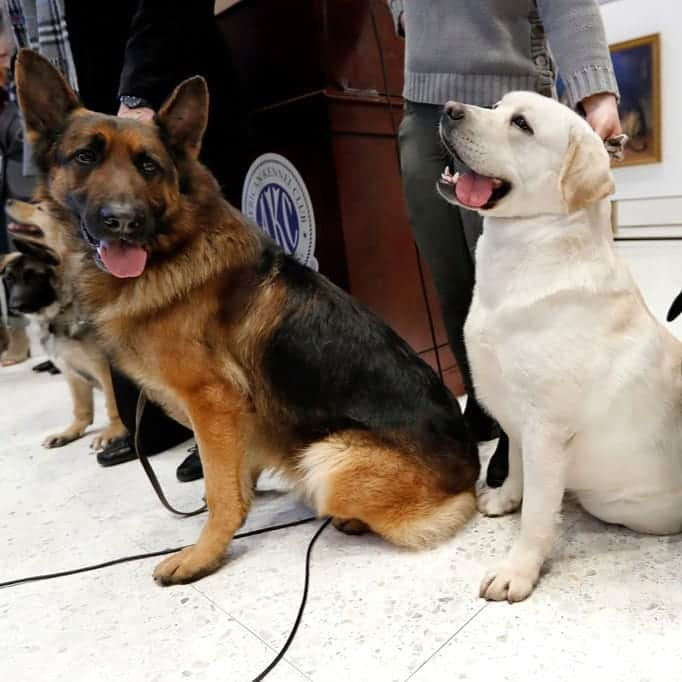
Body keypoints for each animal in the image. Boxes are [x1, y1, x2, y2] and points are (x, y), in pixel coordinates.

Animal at [1, 199, 127, 448]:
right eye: (9, 279)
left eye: (34, 277)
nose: (14, 306)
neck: (61, 309)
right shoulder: (70, 371)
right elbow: (80, 408)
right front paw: (71, 432)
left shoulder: (104, 368)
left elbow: (112, 403)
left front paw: (115, 431)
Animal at [17, 49, 484, 584]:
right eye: (85, 157)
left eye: (148, 165)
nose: (123, 221)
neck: (172, 248)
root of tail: (470, 470)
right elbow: (233, 476)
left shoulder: (212, 401)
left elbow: (221, 492)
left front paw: (203, 552)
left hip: (328, 456)